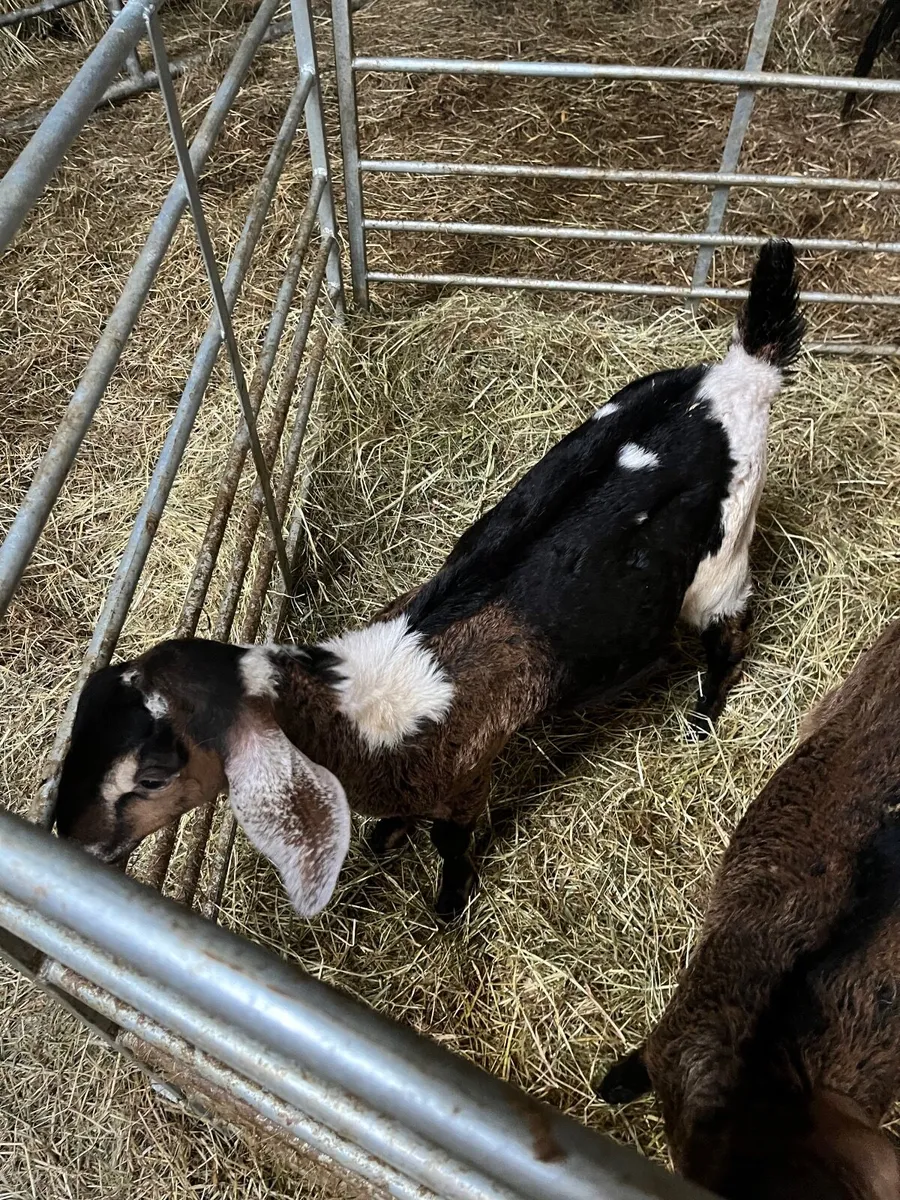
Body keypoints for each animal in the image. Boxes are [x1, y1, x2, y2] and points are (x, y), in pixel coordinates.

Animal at [54, 239, 803, 922]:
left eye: (155, 773)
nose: (70, 840)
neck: (362, 711)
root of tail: (739, 375)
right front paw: (389, 834)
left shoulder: (466, 776)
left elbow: (451, 843)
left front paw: (447, 903)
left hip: (722, 558)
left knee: (730, 633)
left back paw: (703, 716)